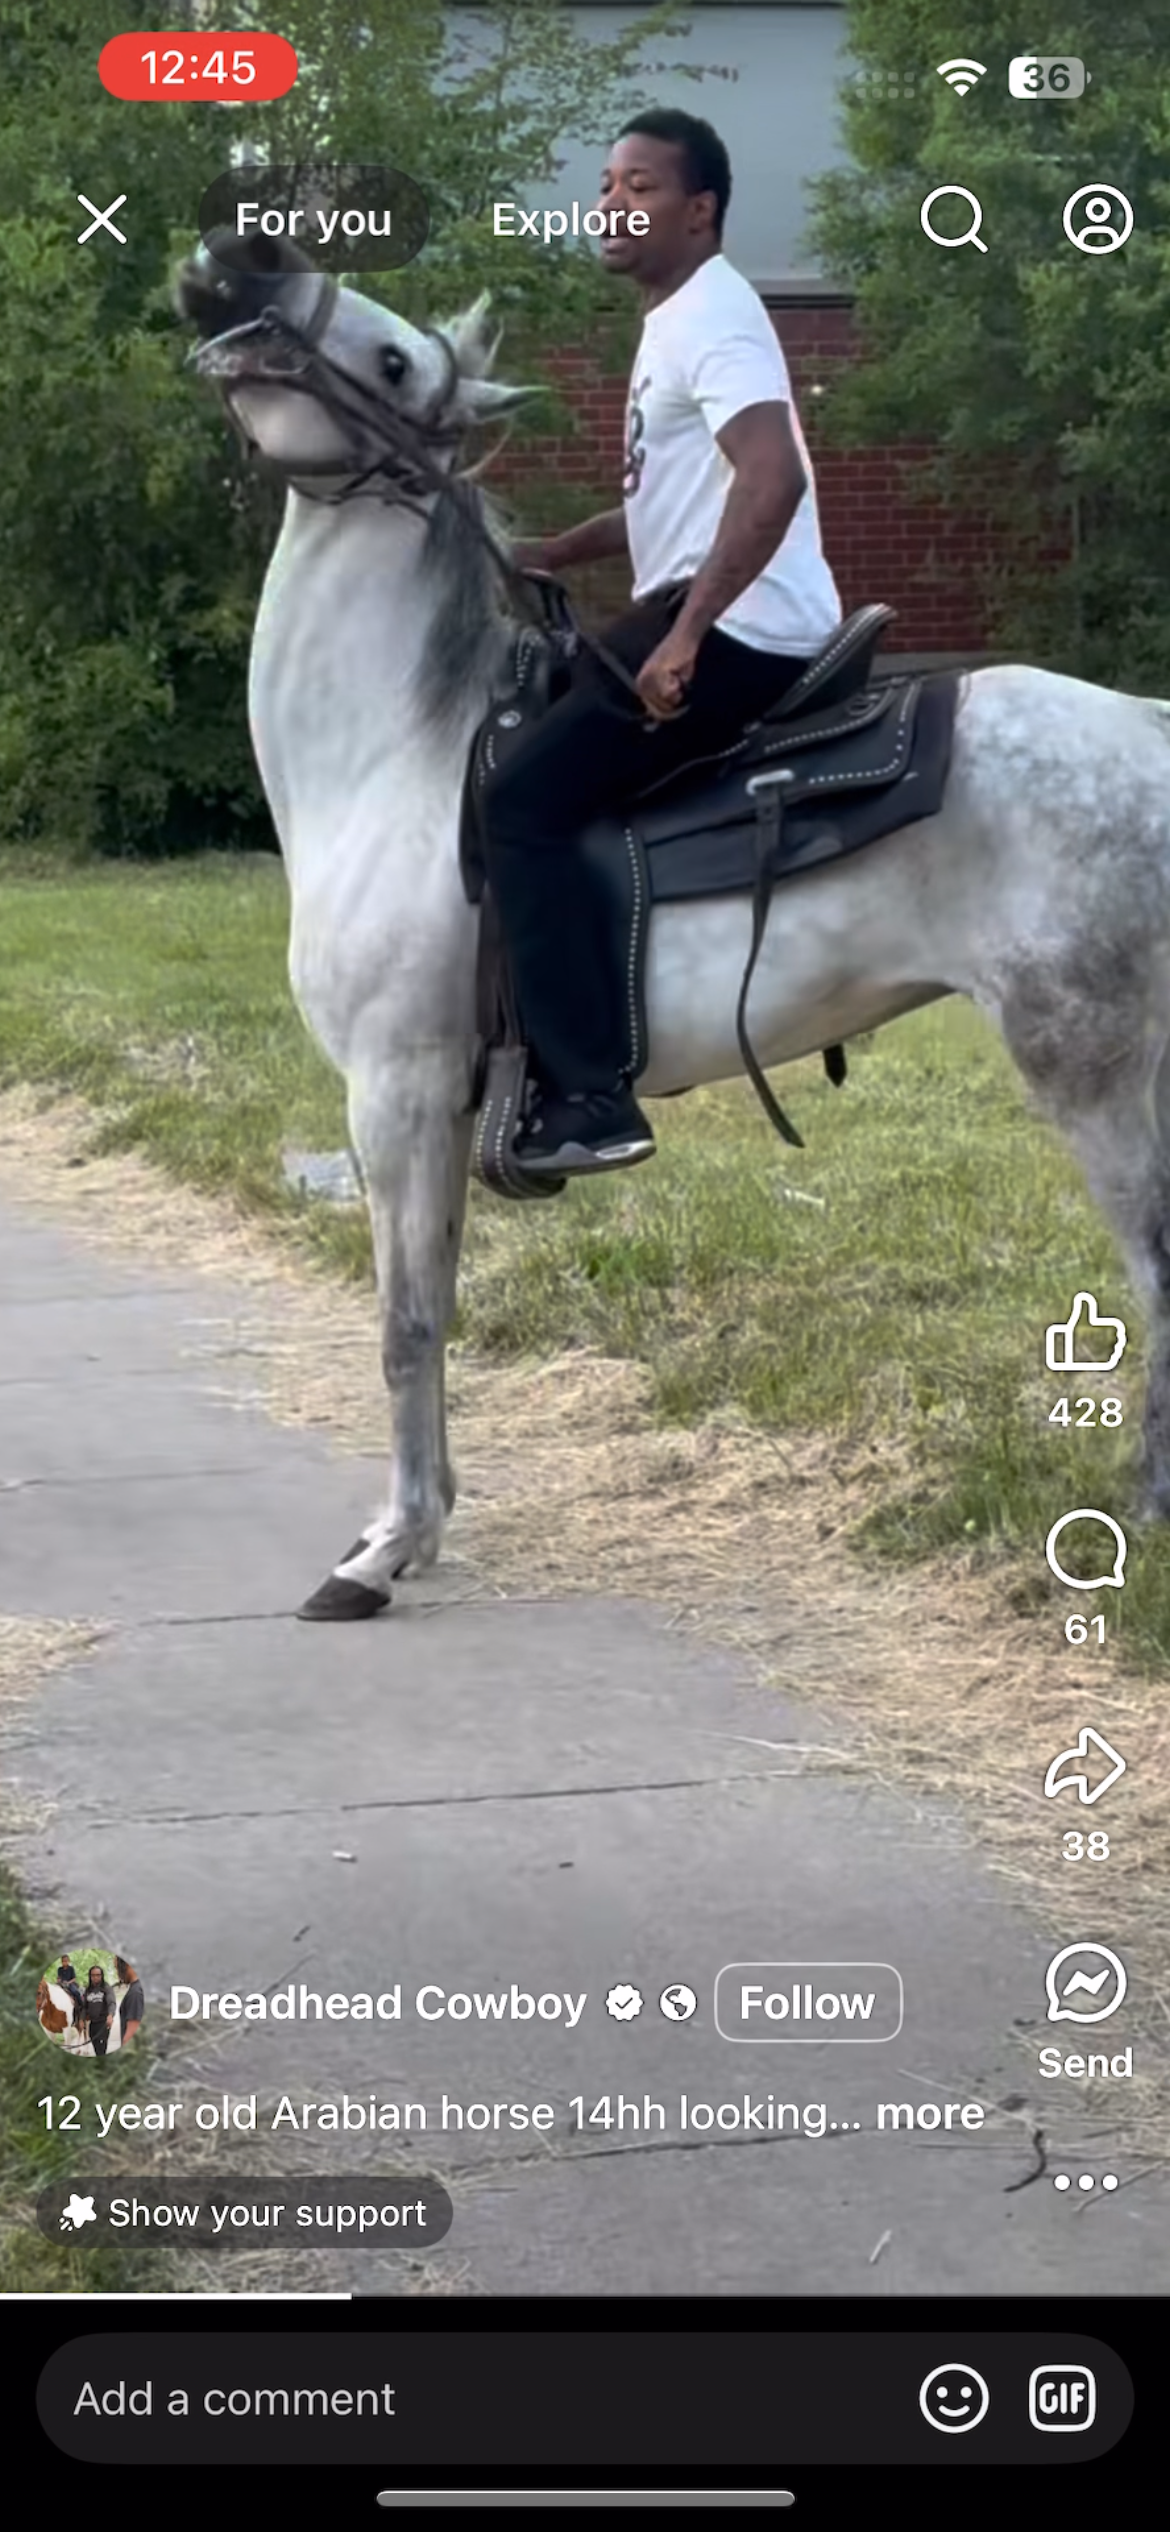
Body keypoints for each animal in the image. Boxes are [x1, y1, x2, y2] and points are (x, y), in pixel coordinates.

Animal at [176, 232, 1170, 1620]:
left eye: (392, 359)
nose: (242, 271)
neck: (395, 761)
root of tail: (1148, 729)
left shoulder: (393, 1091)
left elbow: (403, 1326)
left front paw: (383, 1553)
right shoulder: (444, 1104)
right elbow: (439, 1305)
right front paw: (422, 1522)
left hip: (1086, 1062)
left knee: (1157, 1259)